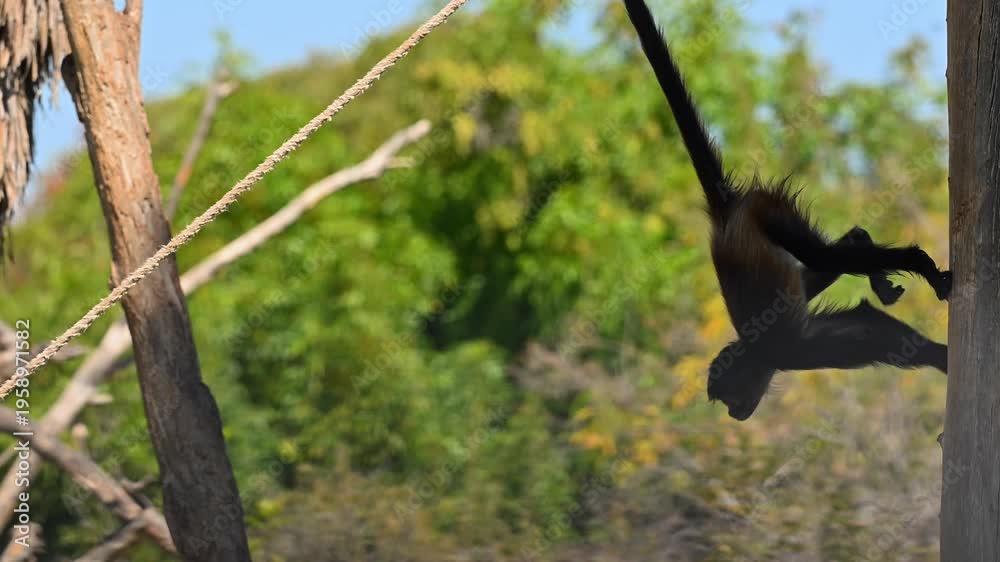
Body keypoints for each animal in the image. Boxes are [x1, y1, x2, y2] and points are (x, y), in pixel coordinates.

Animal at [622, 0, 951, 421]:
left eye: (730, 399)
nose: (735, 415)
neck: (753, 349)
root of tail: (727, 213)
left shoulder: (791, 352)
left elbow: (872, 331)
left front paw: (941, 357)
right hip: (769, 215)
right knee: (824, 257)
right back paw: (865, 247)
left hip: (768, 208)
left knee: (819, 254)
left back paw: (918, 262)